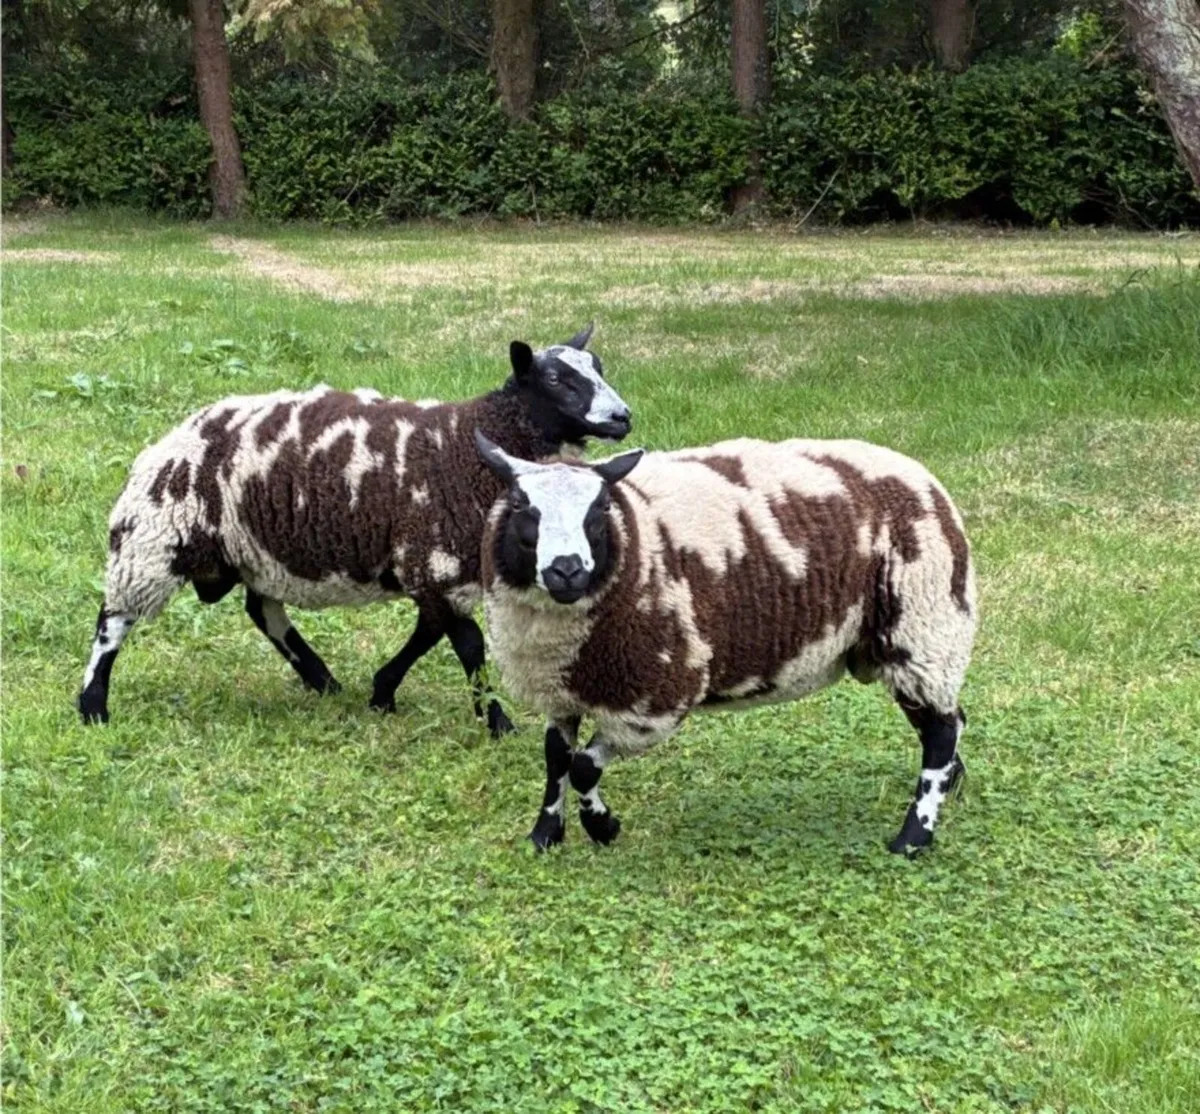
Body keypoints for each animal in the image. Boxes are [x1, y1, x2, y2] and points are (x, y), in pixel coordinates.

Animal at [77, 326, 632, 732]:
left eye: (599, 368)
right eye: (556, 379)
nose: (622, 417)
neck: (473, 442)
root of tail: (171, 437)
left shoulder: (435, 566)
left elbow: (430, 633)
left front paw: (382, 691)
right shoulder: (434, 558)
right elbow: (469, 645)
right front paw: (496, 721)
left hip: (252, 549)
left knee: (263, 612)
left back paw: (321, 679)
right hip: (154, 538)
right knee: (114, 620)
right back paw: (92, 706)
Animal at [475, 431, 977, 856]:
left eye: (599, 512)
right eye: (520, 506)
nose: (566, 570)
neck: (637, 535)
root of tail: (922, 477)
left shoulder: (653, 701)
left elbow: (581, 766)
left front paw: (603, 827)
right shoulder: (561, 689)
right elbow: (556, 759)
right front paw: (544, 834)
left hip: (923, 625)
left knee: (940, 731)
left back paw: (914, 836)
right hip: (909, 644)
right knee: (948, 722)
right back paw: (951, 785)